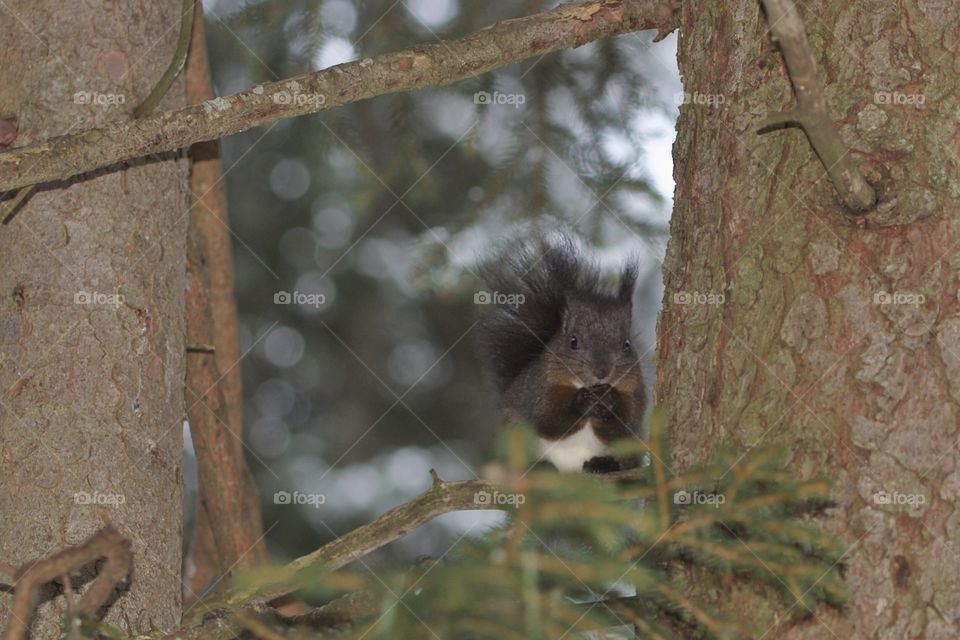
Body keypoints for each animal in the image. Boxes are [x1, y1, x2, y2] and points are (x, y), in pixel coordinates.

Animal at [478, 236, 648, 476]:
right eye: (573, 341)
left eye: (626, 344)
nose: (601, 373)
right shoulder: (537, 388)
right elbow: (547, 418)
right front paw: (581, 401)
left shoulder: (635, 393)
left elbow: (625, 428)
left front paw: (610, 401)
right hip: (514, 436)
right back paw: (541, 467)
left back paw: (603, 465)